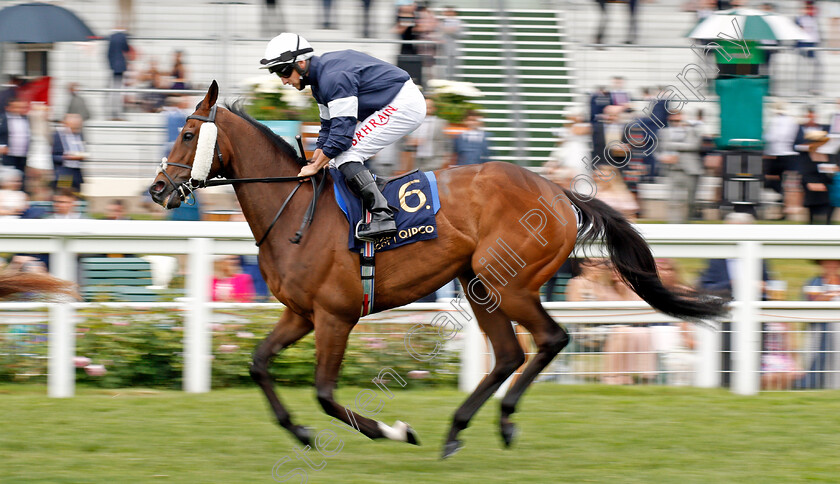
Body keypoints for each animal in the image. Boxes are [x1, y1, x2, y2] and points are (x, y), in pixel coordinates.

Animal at [148, 82, 724, 458]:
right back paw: (456, 429)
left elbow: (326, 394)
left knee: (550, 339)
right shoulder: (301, 314)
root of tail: (559, 191)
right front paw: (301, 433)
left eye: (186, 134)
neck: (295, 213)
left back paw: (503, 421)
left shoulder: (336, 316)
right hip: (478, 284)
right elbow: (259, 365)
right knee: (509, 353)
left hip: (508, 281)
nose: (157, 189)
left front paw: (395, 431)